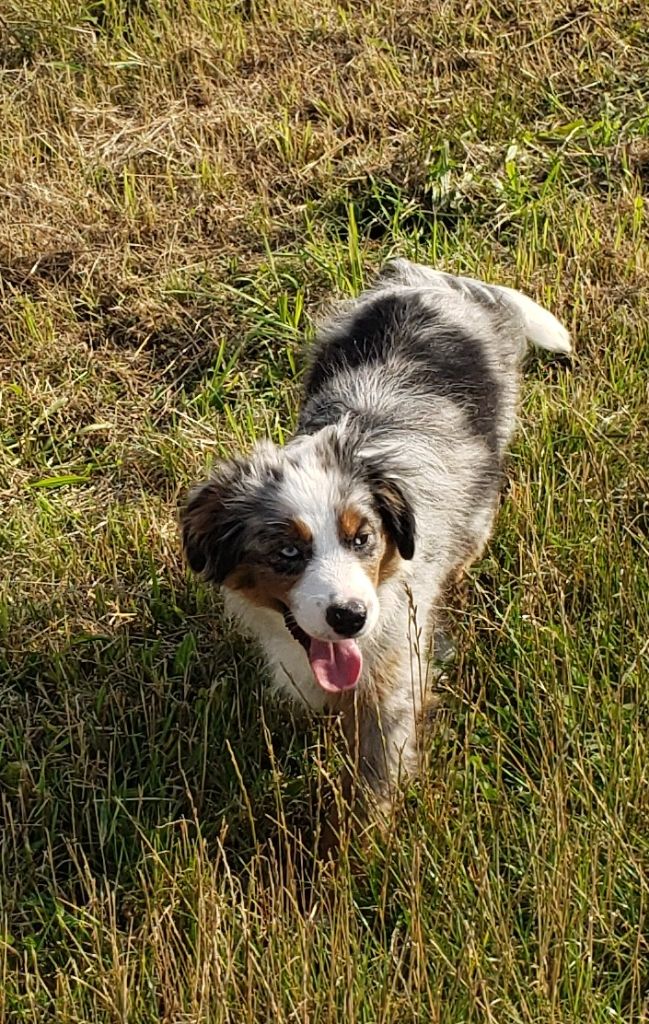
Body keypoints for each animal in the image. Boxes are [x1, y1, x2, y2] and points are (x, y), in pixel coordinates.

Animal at [179, 260, 569, 835]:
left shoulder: (396, 674)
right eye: (287, 553)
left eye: (362, 538)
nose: (350, 617)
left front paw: (363, 844)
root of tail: (432, 283)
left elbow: (376, 777)